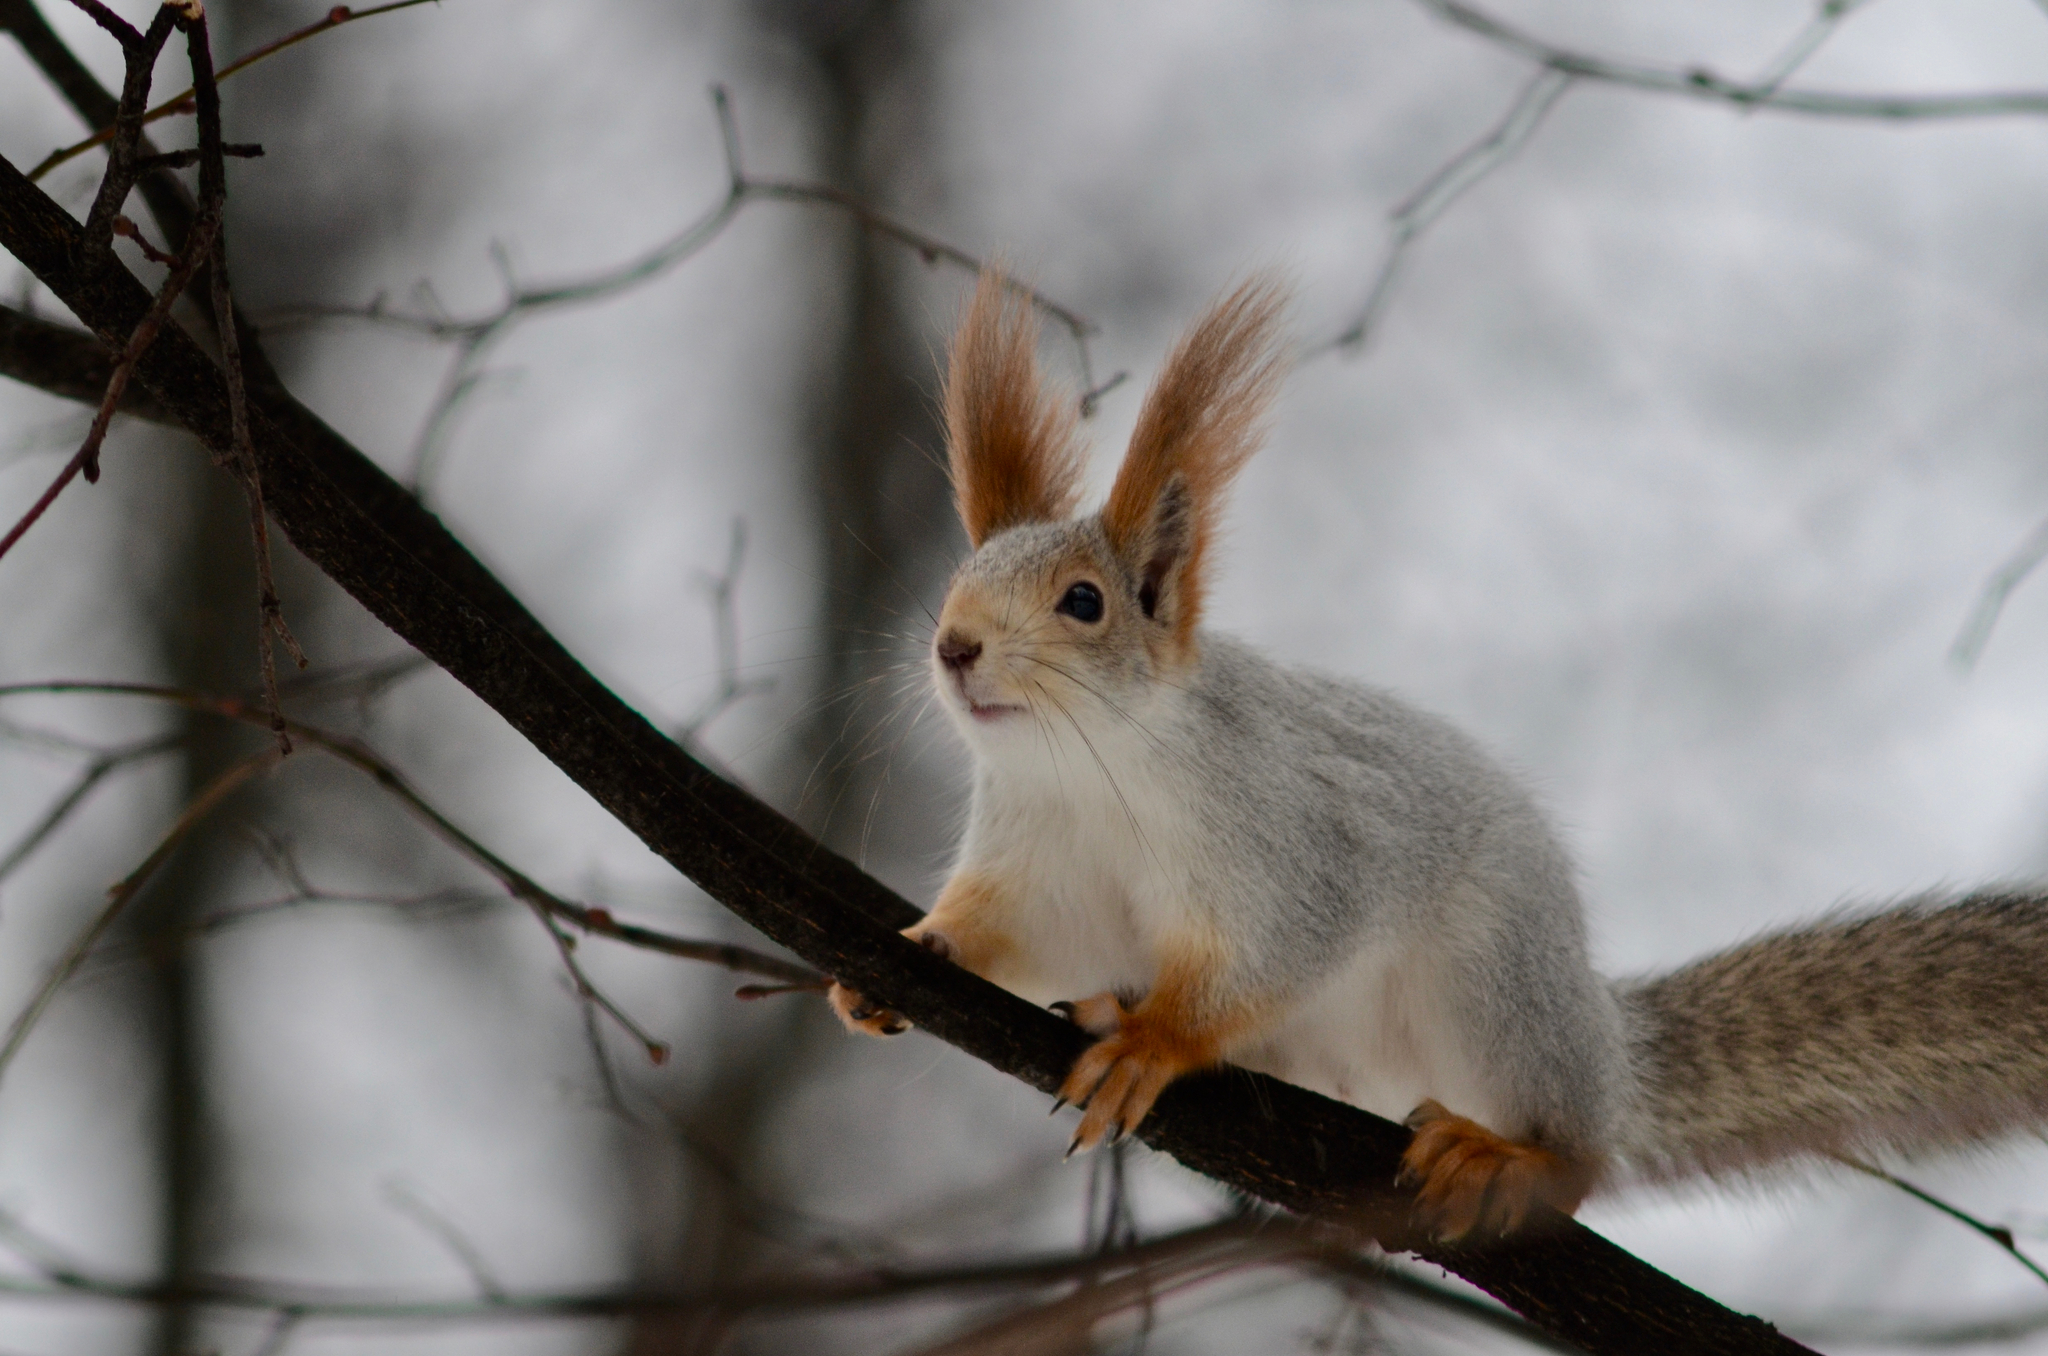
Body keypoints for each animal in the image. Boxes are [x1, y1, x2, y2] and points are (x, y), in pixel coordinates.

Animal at [823, 268, 2048, 1245]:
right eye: (957, 577)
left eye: (1083, 603)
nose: (952, 646)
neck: (1090, 772)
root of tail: (1607, 1052)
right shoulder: (1036, 862)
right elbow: (1018, 938)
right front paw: (916, 949)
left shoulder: (1287, 847)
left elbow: (1274, 953)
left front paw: (1155, 1042)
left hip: (1492, 987)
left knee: (1578, 1154)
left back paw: (1514, 1154)